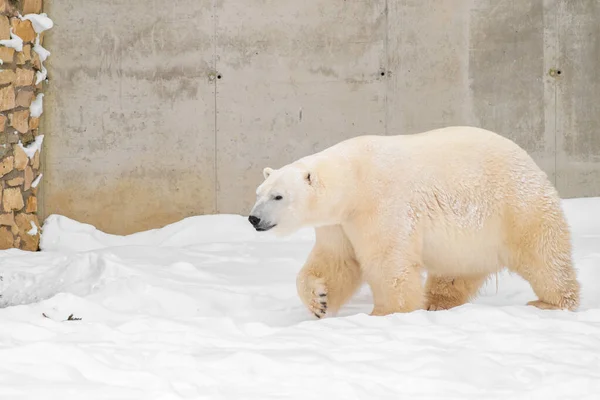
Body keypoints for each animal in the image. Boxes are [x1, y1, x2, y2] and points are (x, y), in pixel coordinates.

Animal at [246, 126, 580, 318]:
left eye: (278, 196)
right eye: (259, 192)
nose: (253, 218)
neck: (352, 179)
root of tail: (530, 160)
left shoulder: (379, 204)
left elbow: (387, 260)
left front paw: (388, 313)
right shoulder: (339, 223)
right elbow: (336, 261)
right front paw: (319, 300)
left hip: (515, 206)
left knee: (543, 255)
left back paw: (552, 302)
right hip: (471, 238)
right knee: (455, 271)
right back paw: (437, 303)